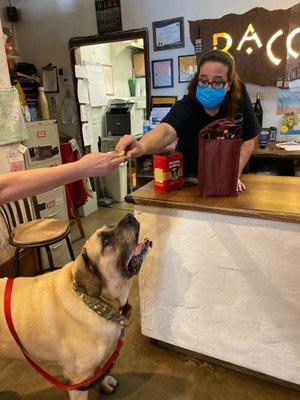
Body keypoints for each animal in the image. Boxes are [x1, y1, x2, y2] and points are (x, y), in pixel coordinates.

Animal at [0, 214, 151, 400]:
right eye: (106, 240)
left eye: (110, 227)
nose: (129, 216)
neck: (94, 302)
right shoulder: (77, 380)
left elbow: (99, 373)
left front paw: (104, 383)